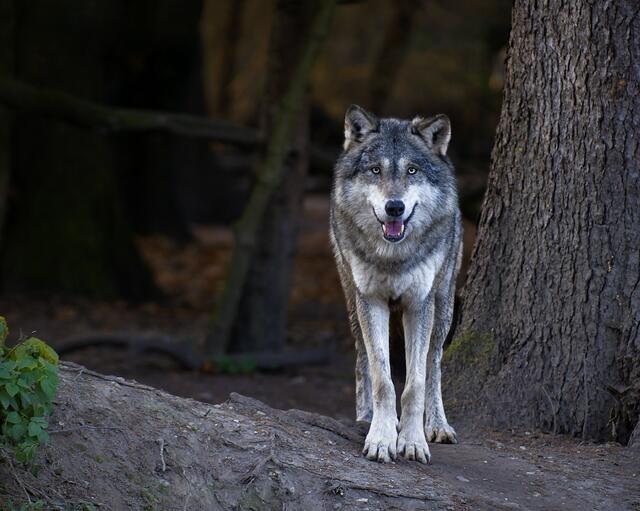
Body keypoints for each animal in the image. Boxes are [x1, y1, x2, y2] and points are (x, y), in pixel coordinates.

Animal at [330, 105, 462, 463]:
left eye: (412, 170)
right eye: (375, 170)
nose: (394, 207)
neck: (394, 256)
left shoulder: (419, 304)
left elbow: (415, 384)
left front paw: (414, 441)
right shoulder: (370, 300)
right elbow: (383, 380)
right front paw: (381, 438)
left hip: (443, 308)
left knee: (434, 364)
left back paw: (438, 425)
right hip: (352, 303)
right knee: (363, 356)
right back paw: (366, 417)